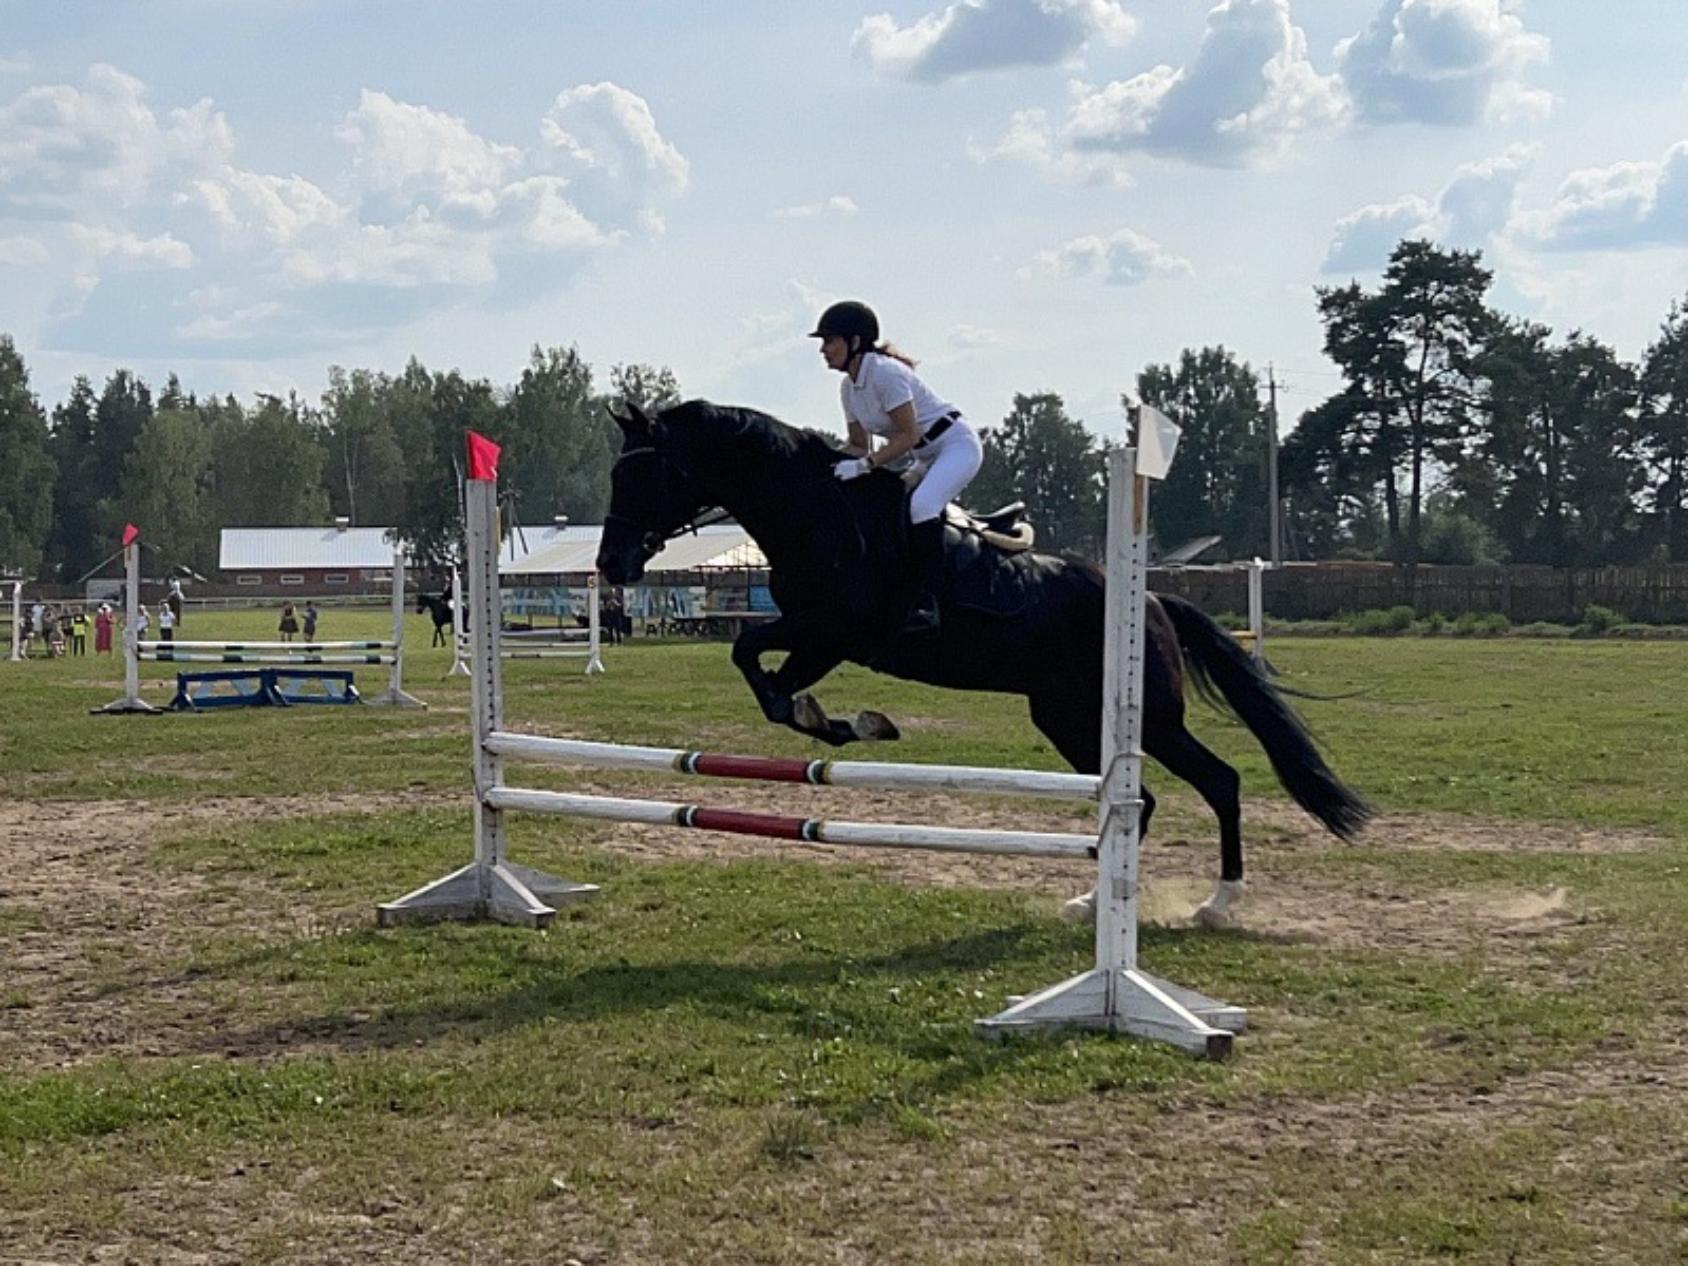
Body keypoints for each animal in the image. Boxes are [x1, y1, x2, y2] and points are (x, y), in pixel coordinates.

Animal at [597, 401, 1370, 925]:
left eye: (642, 477)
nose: (611, 564)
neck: (814, 510)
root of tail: (1152, 600)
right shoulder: (815, 632)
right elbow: (754, 664)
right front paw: (842, 722)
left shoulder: (835, 632)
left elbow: (766, 674)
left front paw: (845, 723)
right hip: (1068, 718)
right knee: (1149, 800)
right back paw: (1095, 899)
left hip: (1142, 716)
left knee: (1219, 782)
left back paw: (1218, 903)